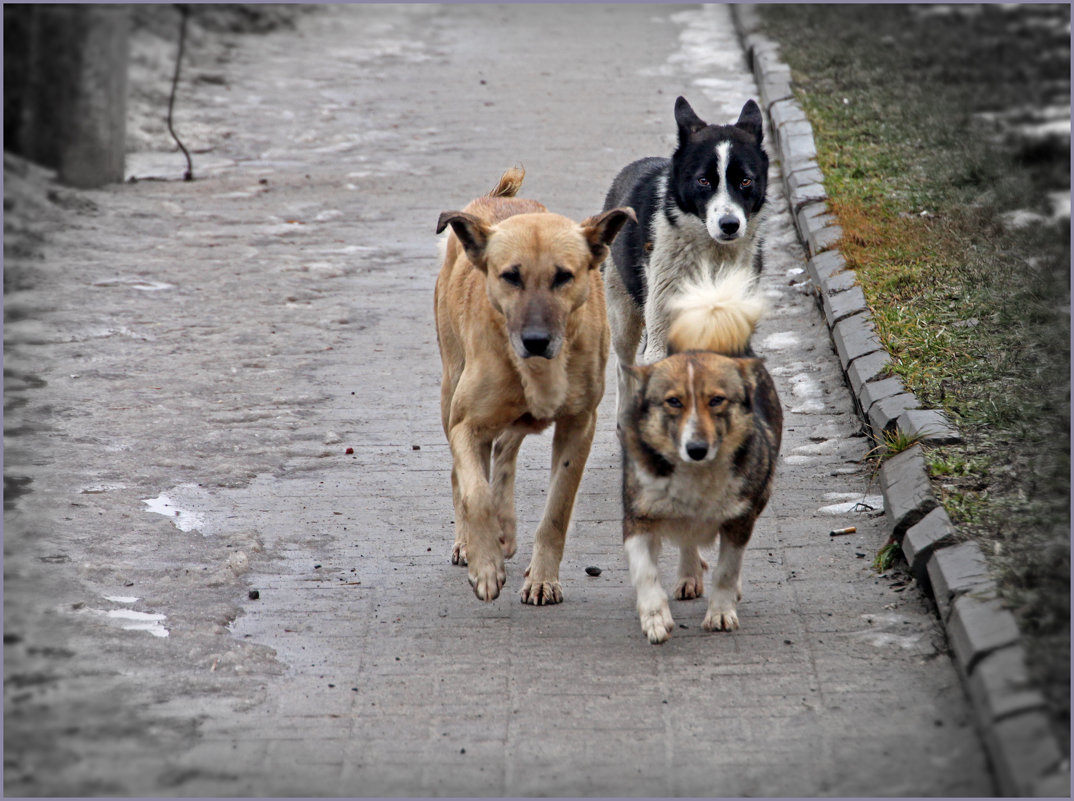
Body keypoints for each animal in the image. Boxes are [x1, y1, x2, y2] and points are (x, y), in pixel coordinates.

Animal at [436, 168, 635, 601]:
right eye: (510, 276)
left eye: (564, 276)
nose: (536, 341)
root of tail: (493, 201)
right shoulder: (466, 424)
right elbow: (475, 492)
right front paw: (485, 563)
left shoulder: (579, 425)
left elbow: (557, 510)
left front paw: (543, 578)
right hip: (451, 384)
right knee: (464, 473)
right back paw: (470, 540)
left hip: (523, 417)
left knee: (506, 448)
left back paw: (505, 527)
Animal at [601, 95, 768, 412]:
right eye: (704, 181)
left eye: (746, 181)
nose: (730, 225)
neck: (712, 257)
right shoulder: (662, 332)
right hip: (623, 316)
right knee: (625, 371)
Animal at [618, 265, 786, 639]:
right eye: (673, 402)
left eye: (717, 400)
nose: (696, 449)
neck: (695, 475)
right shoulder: (639, 517)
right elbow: (644, 571)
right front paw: (655, 618)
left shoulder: (739, 519)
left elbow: (726, 570)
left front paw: (721, 613)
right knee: (687, 542)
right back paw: (688, 576)